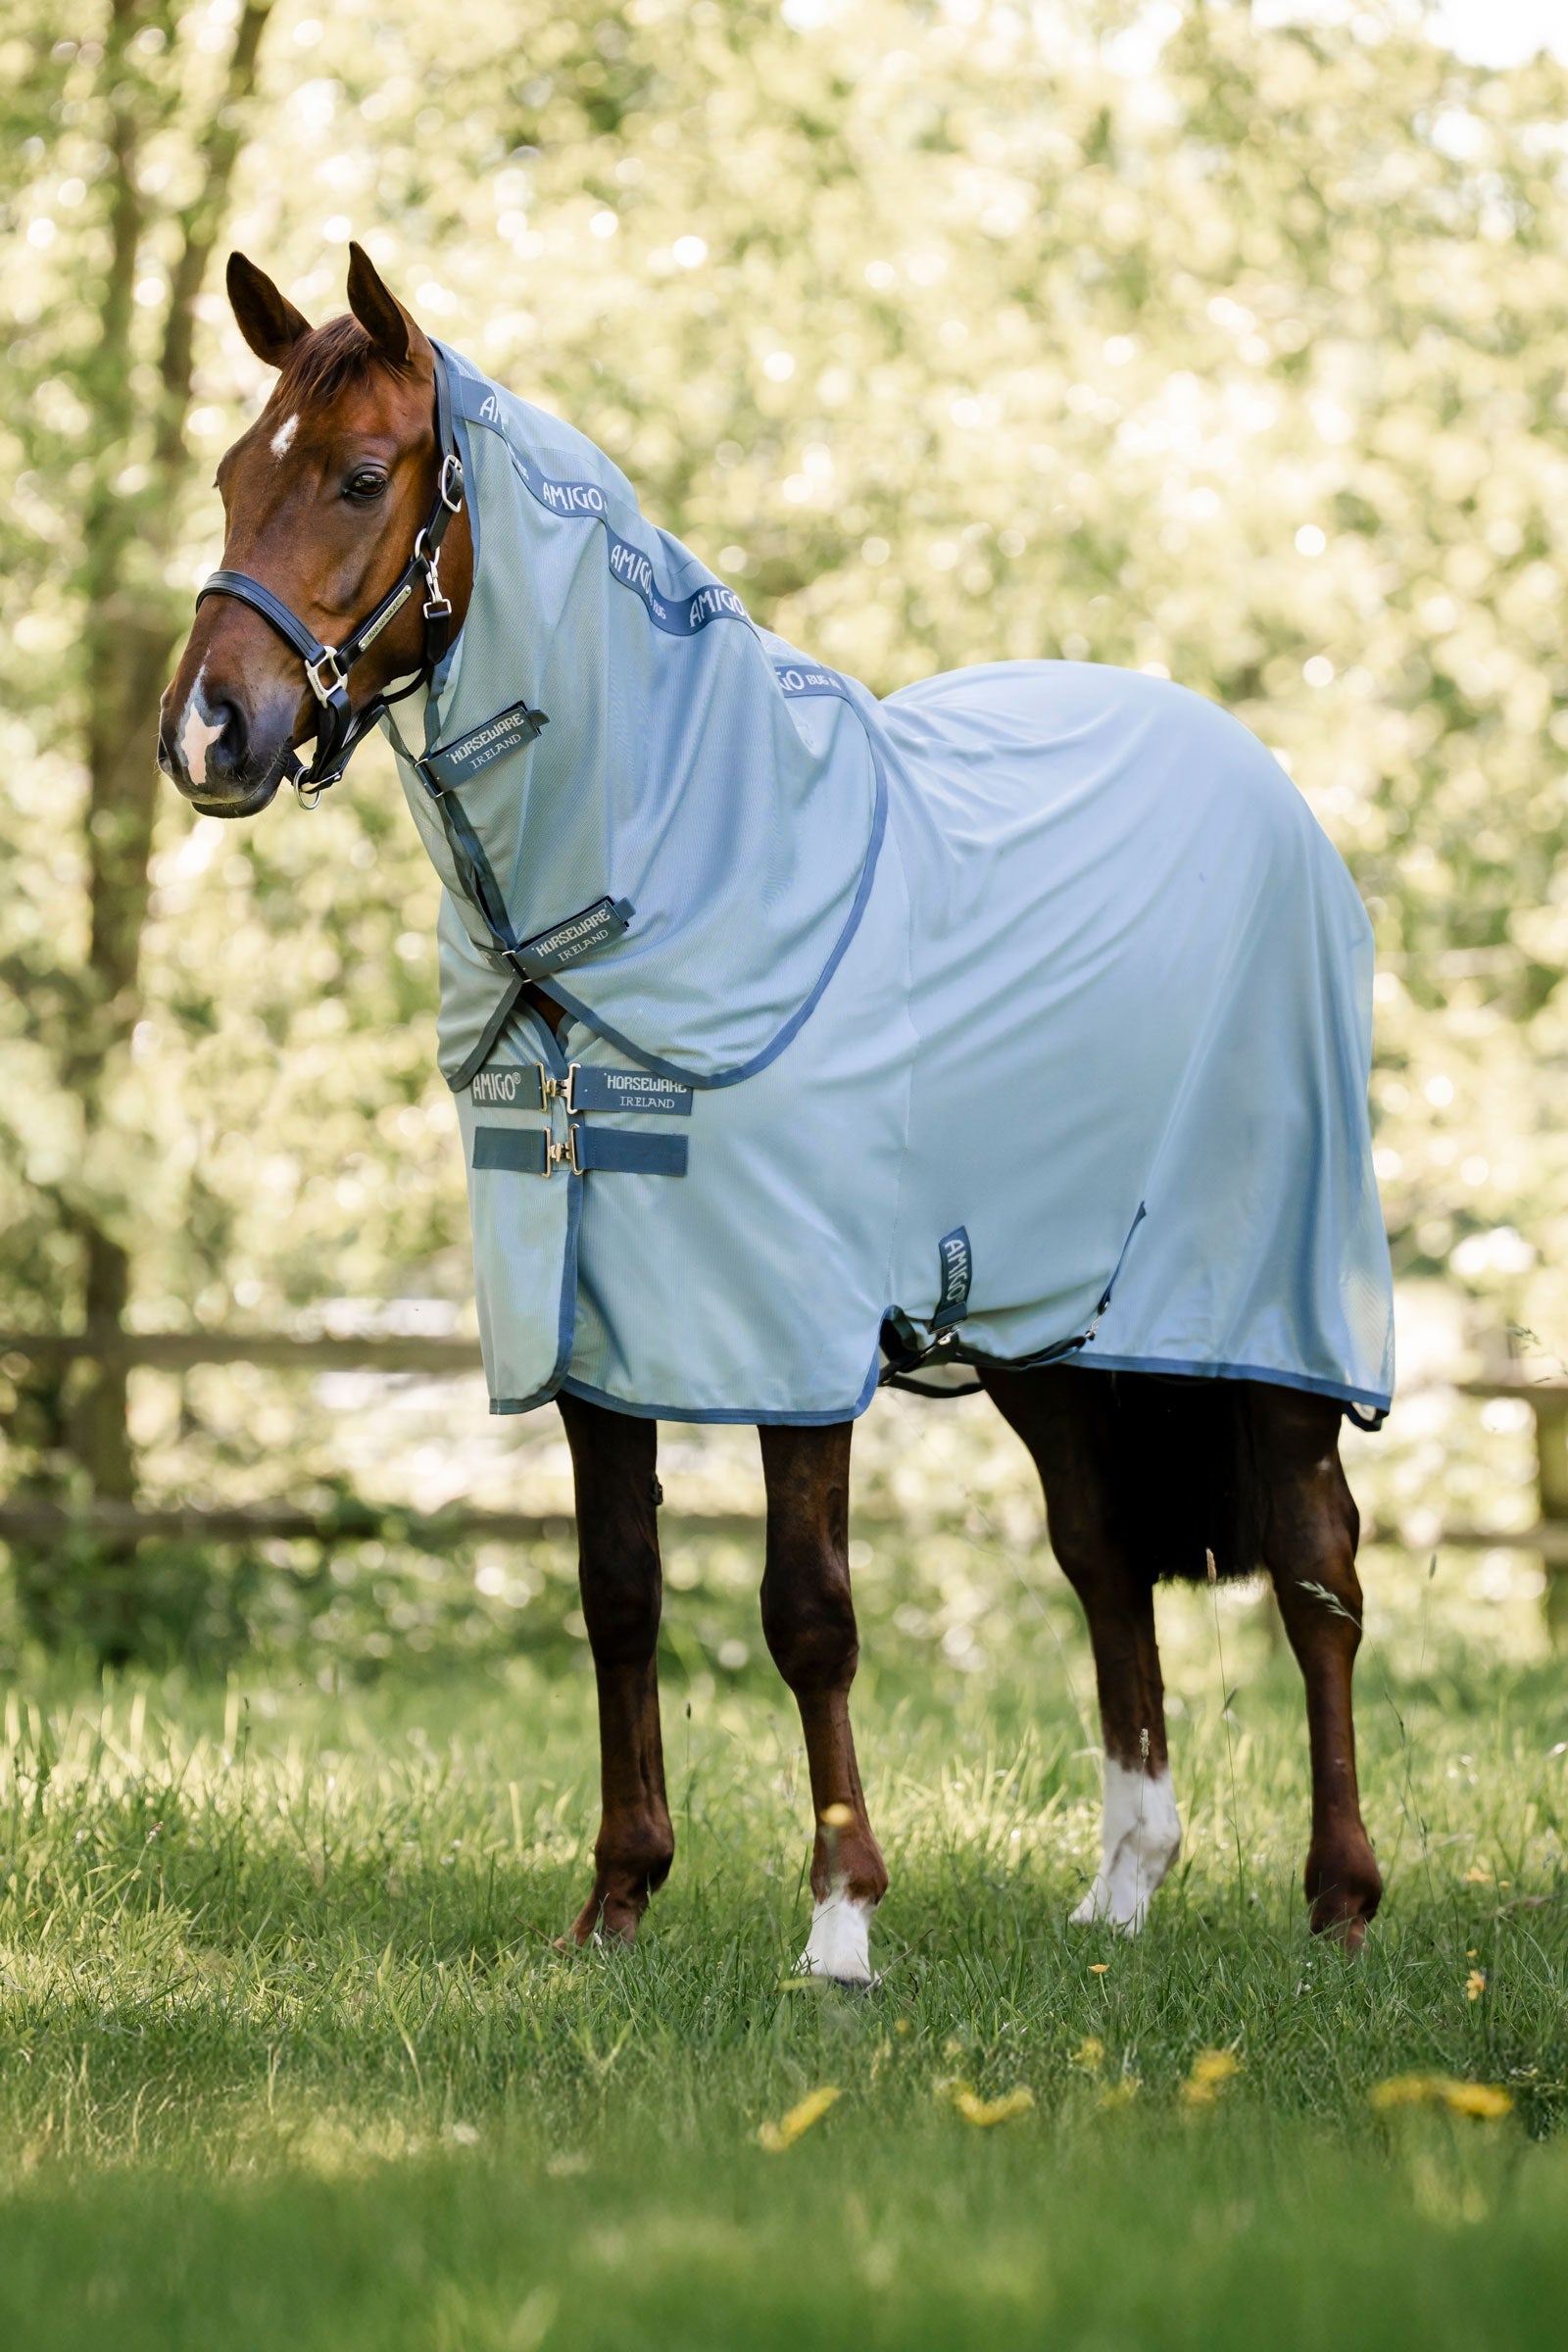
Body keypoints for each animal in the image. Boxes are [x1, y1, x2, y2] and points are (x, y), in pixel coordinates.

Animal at [159, 245, 1392, 1978]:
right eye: (226, 476)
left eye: (354, 476)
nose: (208, 734)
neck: (685, 869)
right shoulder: (589, 1327)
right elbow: (618, 1591)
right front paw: (615, 1903)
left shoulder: (793, 1333)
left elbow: (808, 1610)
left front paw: (841, 1926)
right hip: (1047, 1324)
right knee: (1102, 1556)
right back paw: (1124, 1889)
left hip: (1269, 1304)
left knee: (1315, 1565)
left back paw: (1340, 1900)